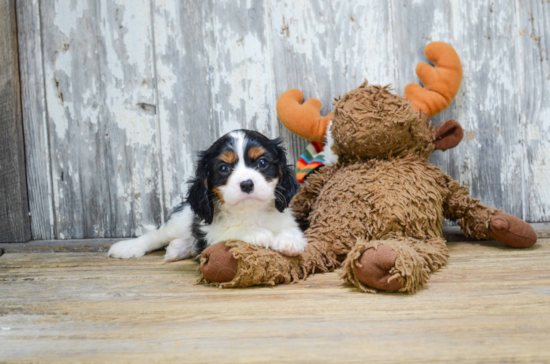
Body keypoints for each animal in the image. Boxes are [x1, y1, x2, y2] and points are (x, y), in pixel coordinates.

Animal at [110, 131, 308, 262]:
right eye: (223, 168)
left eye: (262, 163)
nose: (247, 184)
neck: (249, 212)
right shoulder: (211, 234)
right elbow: (232, 232)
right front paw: (257, 233)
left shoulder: (286, 219)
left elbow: (291, 231)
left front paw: (289, 242)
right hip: (179, 219)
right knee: (157, 235)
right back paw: (127, 247)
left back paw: (179, 248)